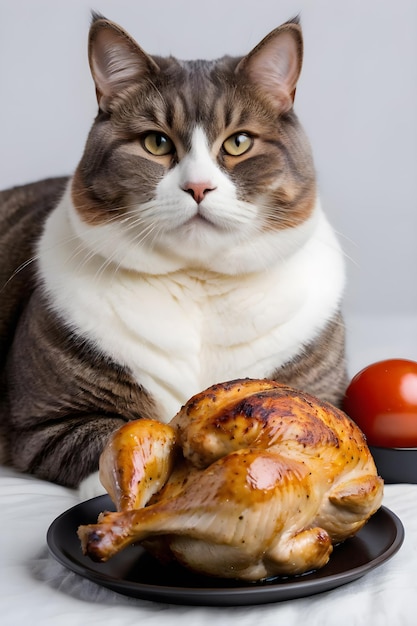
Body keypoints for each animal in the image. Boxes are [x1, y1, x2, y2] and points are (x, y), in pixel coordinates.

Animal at [0, 12, 346, 494]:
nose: (198, 187)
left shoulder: (324, 394)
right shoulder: (41, 424)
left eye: (239, 142)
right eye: (156, 143)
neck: (199, 283)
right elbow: (113, 436)